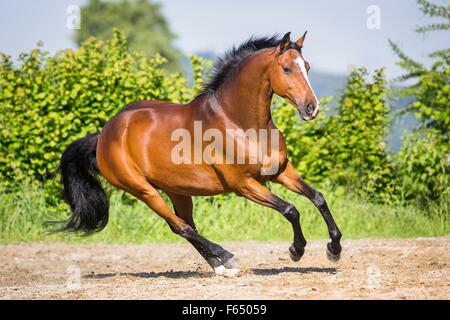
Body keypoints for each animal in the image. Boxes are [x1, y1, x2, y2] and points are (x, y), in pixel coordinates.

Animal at [58, 32, 342, 276]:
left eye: (307, 66)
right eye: (286, 68)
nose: (312, 108)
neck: (239, 122)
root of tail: (104, 136)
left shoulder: (280, 172)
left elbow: (317, 198)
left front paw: (334, 249)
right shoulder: (243, 185)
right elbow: (291, 209)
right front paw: (297, 250)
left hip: (177, 190)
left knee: (186, 226)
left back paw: (221, 268)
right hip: (143, 190)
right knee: (179, 226)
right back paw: (227, 257)